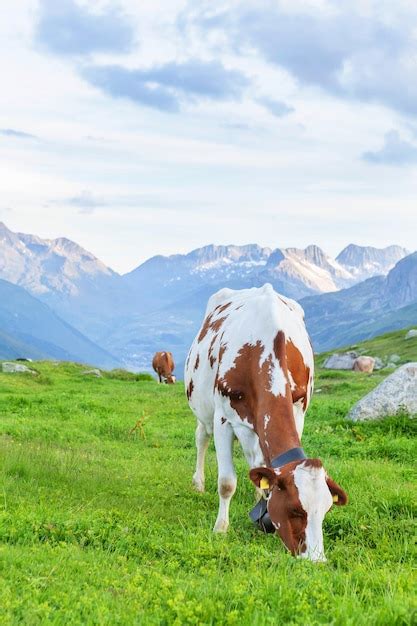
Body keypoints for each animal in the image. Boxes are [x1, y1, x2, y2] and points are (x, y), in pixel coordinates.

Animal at [184, 282, 346, 560]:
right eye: (295, 509)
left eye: (326, 510)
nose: (317, 560)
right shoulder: (223, 418)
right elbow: (226, 482)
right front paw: (220, 528)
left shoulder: (298, 412)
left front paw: (261, 502)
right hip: (203, 409)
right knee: (201, 437)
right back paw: (198, 483)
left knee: (256, 460)